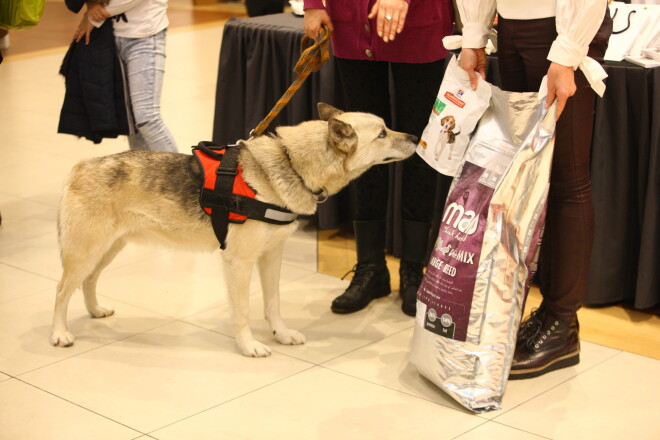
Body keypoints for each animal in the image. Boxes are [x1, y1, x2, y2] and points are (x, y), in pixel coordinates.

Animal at [50, 103, 418, 358]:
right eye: (383, 133)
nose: (416, 137)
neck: (291, 163)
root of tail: (79, 167)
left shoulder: (271, 257)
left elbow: (273, 305)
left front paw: (281, 334)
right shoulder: (239, 263)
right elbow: (242, 312)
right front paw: (248, 346)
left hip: (108, 249)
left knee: (88, 282)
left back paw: (95, 311)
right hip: (86, 252)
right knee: (61, 290)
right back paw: (59, 333)